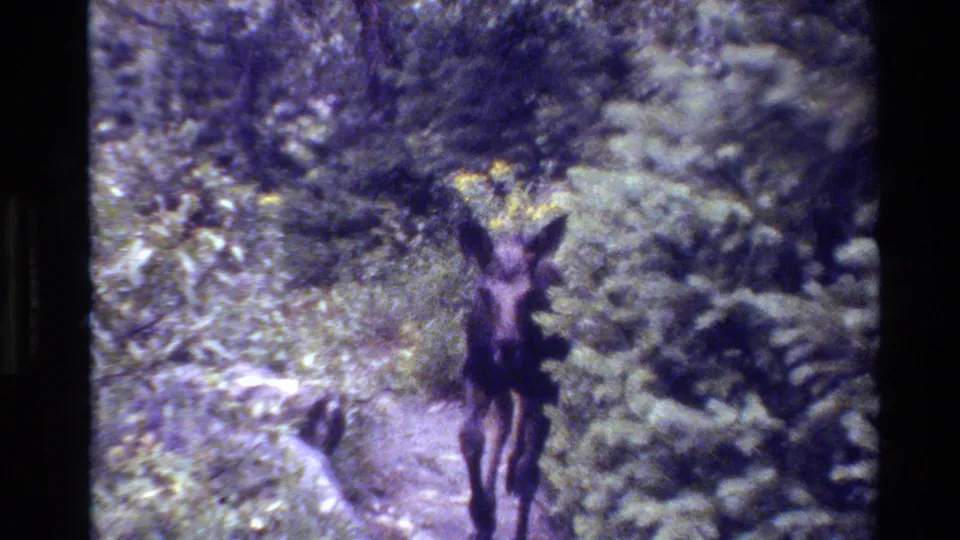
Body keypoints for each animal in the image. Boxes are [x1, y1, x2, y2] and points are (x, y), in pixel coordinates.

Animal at [457, 214, 571, 540]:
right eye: (484, 292)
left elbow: (530, 472)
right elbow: (471, 438)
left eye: (530, 294)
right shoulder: (477, 374)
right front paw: (481, 511)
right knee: (505, 422)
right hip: (504, 387)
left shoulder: (546, 388)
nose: (507, 348)